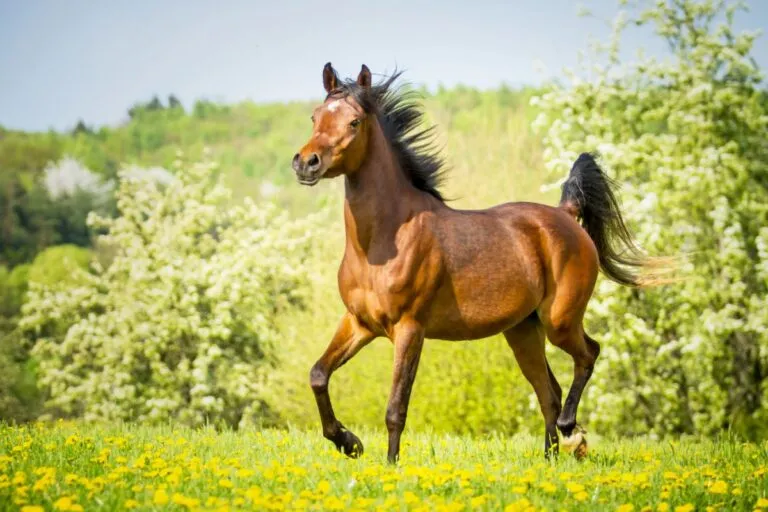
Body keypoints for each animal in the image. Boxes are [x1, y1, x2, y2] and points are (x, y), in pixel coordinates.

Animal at [292, 63, 650, 463]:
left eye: (354, 122)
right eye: (315, 117)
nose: (306, 163)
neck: (383, 242)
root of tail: (566, 215)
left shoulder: (409, 329)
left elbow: (395, 408)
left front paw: (389, 464)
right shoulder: (359, 323)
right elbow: (318, 374)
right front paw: (348, 442)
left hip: (559, 321)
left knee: (588, 356)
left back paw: (571, 431)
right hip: (523, 331)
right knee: (549, 392)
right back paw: (550, 458)